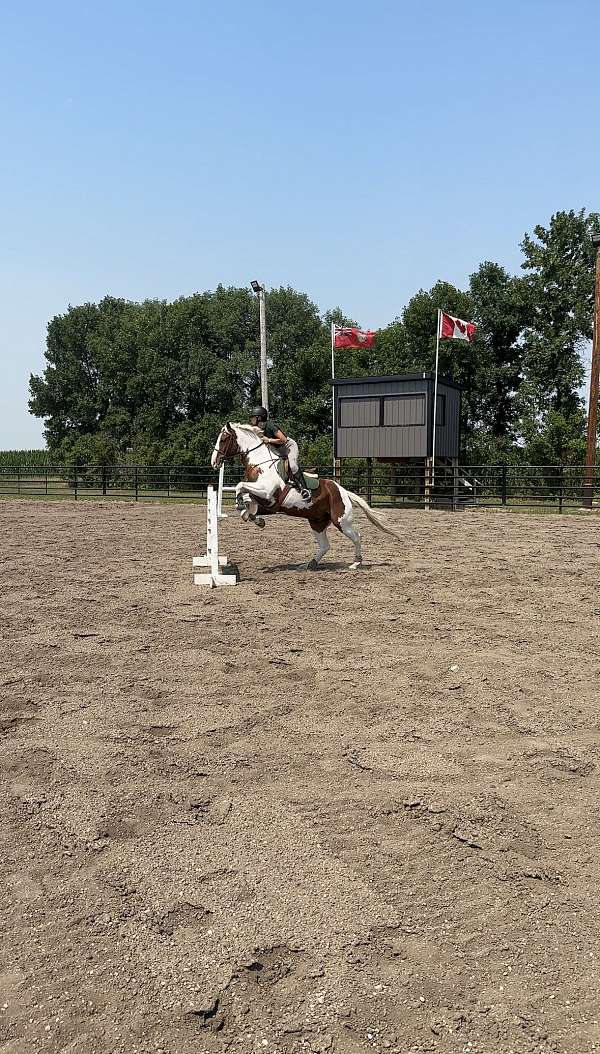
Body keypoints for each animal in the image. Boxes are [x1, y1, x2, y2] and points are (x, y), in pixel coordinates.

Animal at [210, 422, 402, 570]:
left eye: (224, 439)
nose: (214, 462)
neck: (259, 463)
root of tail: (342, 491)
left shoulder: (266, 492)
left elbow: (239, 486)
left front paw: (246, 509)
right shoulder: (264, 501)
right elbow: (246, 500)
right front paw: (250, 514)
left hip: (341, 521)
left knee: (356, 536)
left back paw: (356, 563)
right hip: (317, 522)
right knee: (325, 545)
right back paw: (310, 564)